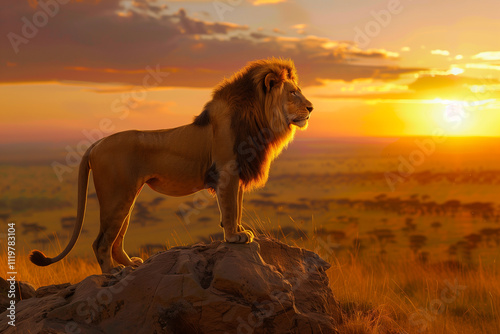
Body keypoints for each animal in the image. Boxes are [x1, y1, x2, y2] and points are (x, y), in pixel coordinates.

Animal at [29, 57, 312, 272]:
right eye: (293, 93)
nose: (311, 107)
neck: (258, 118)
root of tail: (96, 143)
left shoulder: (238, 171)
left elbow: (238, 206)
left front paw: (241, 231)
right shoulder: (227, 170)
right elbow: (231, 208)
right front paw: (234, 236)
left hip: (127, 196)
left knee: (116, 239)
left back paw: (130, 264)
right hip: (116, 195)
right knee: (100, 241)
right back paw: (112, 271)